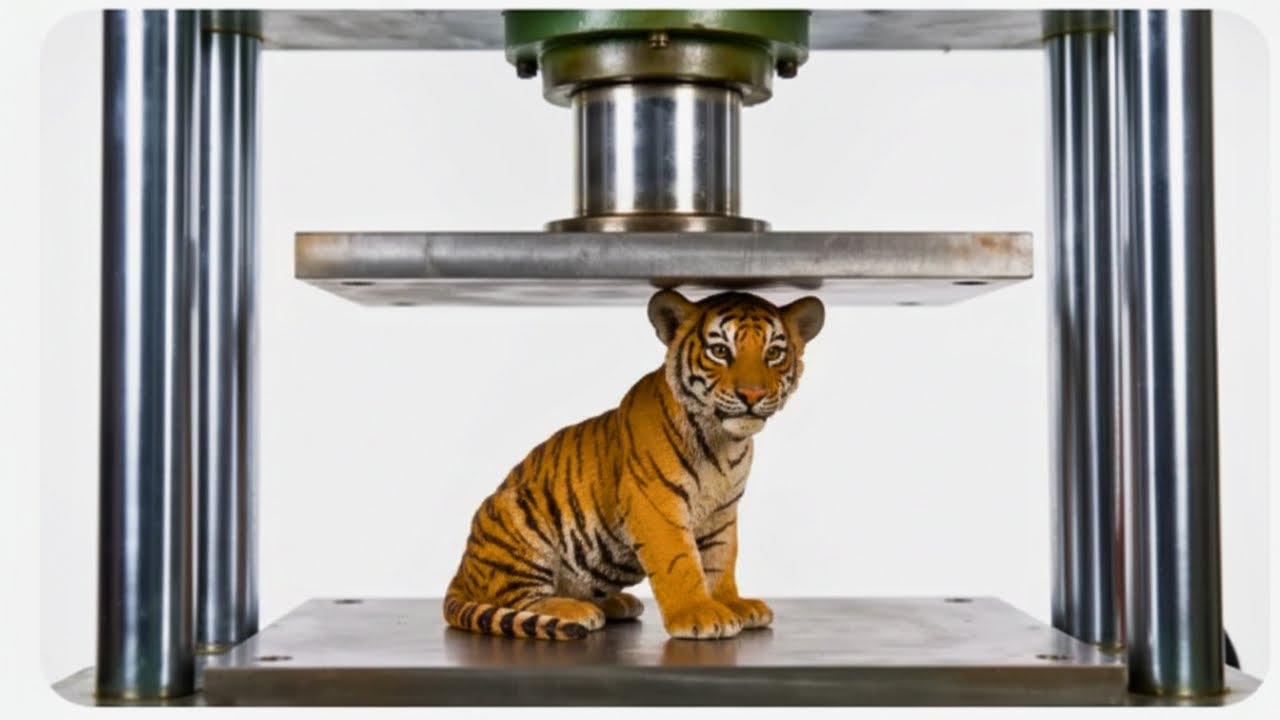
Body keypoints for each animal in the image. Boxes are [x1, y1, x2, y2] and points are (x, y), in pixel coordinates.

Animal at [443, 289, 825, 640]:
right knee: (517, 599)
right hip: (515, 513)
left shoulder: (722, 512)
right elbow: (679, 561)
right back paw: (576, 611)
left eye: (773, 353)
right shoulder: (656, 503)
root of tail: (461, 572)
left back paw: (614, 603)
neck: (725, 444)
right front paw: (699, 614)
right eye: (720, 351)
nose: (752, 396)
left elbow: (721, 560)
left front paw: (732, 604)